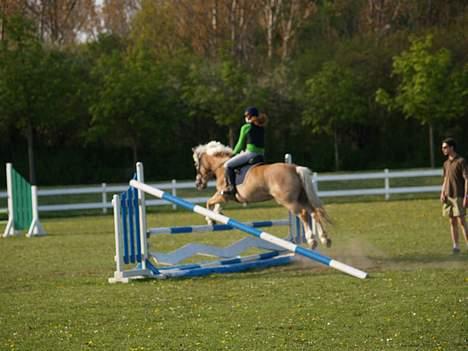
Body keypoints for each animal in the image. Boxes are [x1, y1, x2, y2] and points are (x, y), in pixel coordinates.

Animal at [192, 142, 330, 249]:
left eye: (197, 165)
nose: (198, 184)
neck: (221, 166)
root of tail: (295, 168)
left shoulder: (223, 195)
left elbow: (209, 202)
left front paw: (210, 219)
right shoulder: (226, 198)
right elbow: (216, 205)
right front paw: (217, 215)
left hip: (289, 201)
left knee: (303, 214)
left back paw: (311, 240)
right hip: (302, 198)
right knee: (314, 212)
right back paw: (324, 239)